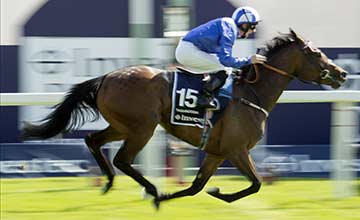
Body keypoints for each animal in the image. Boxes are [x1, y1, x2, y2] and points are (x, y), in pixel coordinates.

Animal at [21, 29, 346, 208]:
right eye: (316, 53)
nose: (342, 73)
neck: (252, 93)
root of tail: (106, 77)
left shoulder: (217, 151)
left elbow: (196, 187)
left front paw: (205, 192)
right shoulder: (236, 149)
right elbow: (255, 184)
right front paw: (214, 193)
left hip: (121, 125)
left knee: (93, 140)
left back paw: (110, 182)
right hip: (142, 127)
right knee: (122, 159)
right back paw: (148, 189)